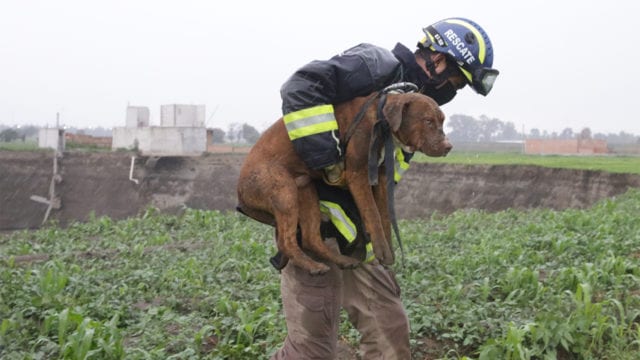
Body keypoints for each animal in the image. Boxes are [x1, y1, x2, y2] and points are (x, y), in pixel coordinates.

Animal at [235, 91, 450, 274]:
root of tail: (239, 191)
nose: (448, 147)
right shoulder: (357, 175)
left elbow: (385, 217)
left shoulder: (380, 178)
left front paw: (388, 252)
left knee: (311, 237)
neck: (381, 121)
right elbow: (373, 214)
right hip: (283, 191)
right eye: (428, 121)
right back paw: (312, 266)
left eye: (442, 121)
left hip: (305, 191)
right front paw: (381, 250)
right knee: (286, 241)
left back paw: (340, 261)